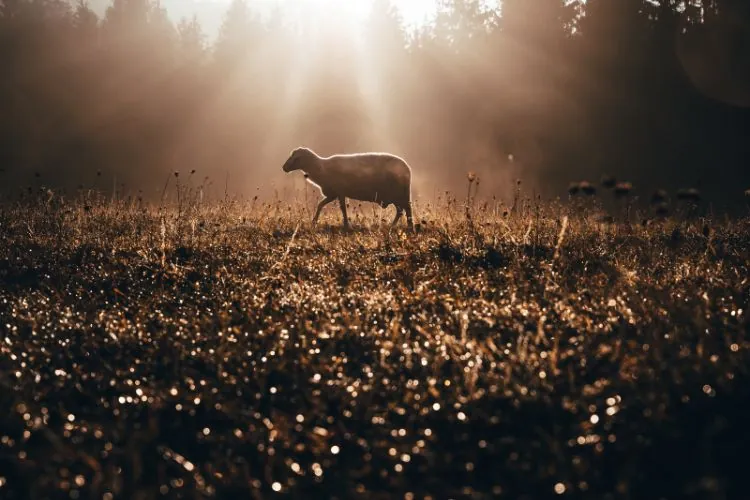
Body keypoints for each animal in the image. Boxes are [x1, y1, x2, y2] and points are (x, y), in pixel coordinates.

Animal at [282, 146, 414, 229]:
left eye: (295, 157)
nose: (284, 168)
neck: (321, 168)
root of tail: (407, 168)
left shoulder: (339, 192)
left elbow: (343, 208)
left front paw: (346, 225)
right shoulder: (333, 194)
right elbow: (320, 205)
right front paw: (314, 222)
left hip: (398, 193)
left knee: (405, 209)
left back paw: (408, 225)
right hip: (396, 195)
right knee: (401, 210)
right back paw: (397, 225)